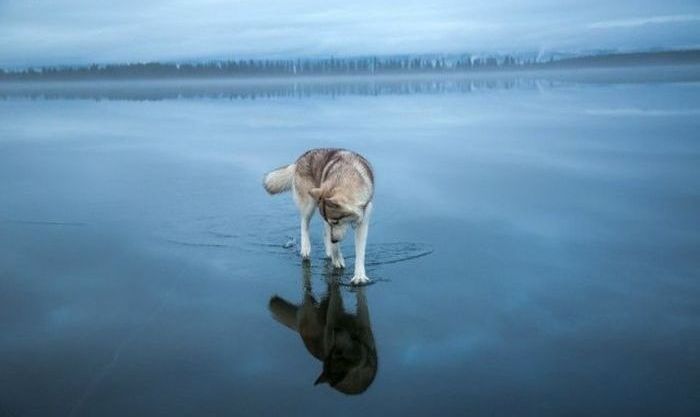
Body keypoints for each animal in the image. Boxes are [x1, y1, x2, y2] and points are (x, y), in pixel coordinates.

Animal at [268, 264, 378, 394]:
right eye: (332, 351)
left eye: (337, 353)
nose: (336, 330)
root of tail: (299, 330)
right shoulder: (332, 317)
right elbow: (334, 301)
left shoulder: (364, 327)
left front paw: (358, 276)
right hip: (310, 307)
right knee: (307, 284)